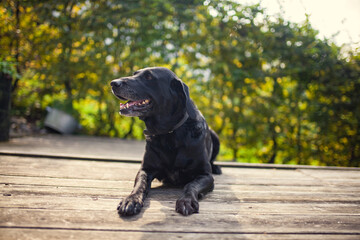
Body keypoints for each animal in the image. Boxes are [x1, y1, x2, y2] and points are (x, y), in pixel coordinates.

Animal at [111, 66, 221, 217]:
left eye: (148, 77)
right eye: (134, 74)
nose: (113, 83)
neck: (169, 133)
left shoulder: (205, 175)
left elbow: (191, 185)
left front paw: (186, 201)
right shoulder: (145, 169)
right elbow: (140, 184)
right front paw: (131, 200)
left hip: (215, 137)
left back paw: (216, 167)